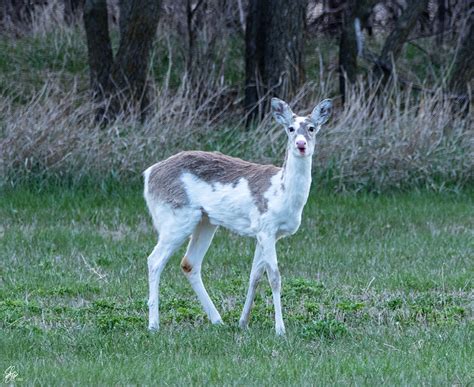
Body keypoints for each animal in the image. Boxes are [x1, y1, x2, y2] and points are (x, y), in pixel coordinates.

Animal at [144, 98, 334, 336]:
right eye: (290, 128)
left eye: (311, 128)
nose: (301, 145)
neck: (281, 193)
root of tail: (148, 175)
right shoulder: (266, 228)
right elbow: (275, 277)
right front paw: (280, 330)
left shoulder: (264, 233)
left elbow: (255, 276)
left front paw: (243, 322)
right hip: (176, 218)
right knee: (154, 260)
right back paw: (153, 324)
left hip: (205, 221)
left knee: (189, 263)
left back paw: (217, 320)